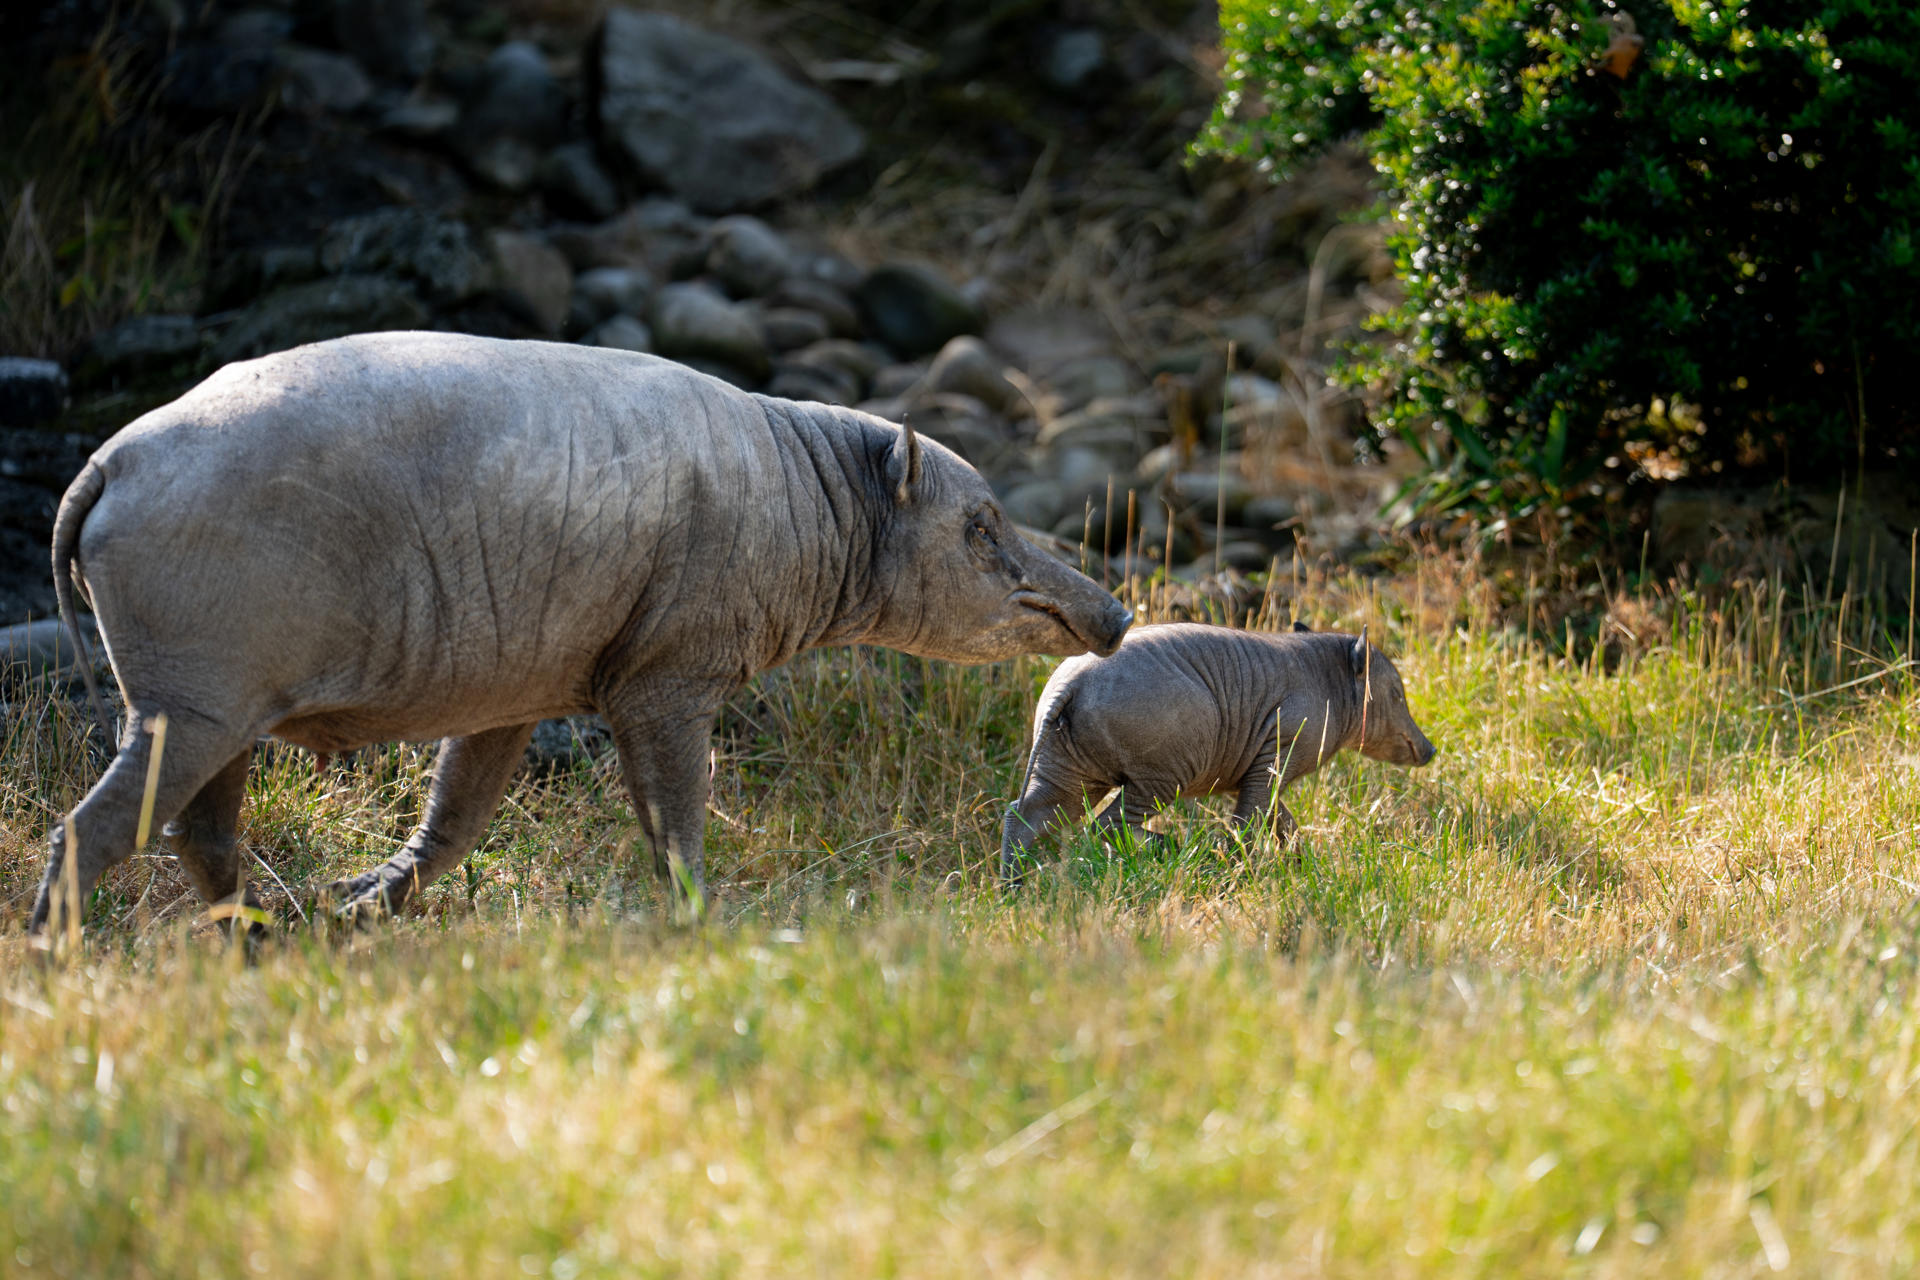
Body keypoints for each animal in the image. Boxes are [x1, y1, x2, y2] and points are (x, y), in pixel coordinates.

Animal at [29, 331, 1132, 933]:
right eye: (983, 528)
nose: (1116, 616)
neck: (813, 502)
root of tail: (107, 464)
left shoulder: (512, 696)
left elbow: (454, 818)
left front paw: (362, 904)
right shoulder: (670, 679)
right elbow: (675, 815)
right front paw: (698, 921)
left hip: (216, 709)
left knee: (201, 833)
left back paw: (266, 938)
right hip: (194, 701)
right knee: (96, 830)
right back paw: (57, 954)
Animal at [1001, 621, 1434, 875]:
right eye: (1397, 694)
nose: (1430, 751)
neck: (1330, 685)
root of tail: (1067, 687)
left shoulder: (1260, 774)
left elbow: (1283, 821)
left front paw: (1303, 865)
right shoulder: (1274, 759)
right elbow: (1247, 823)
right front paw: (1234, 868)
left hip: (1069, 774)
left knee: (1023, 817)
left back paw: (1013, 887)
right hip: (1162, 776)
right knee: (1106, 824)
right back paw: (1171, 847)